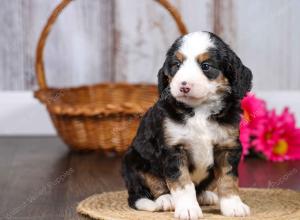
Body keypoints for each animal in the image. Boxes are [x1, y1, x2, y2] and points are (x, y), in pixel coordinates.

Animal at [120, 31, 252, 220]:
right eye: (176, 65)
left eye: (206, 66)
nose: (184, 86)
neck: (200, 111)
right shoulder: (174, 149)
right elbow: (182, 183)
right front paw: (188, 209)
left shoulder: (227, 147)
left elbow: (228, 179)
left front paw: (233, 206)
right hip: (134, 158)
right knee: (148, 187)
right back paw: (166, 199)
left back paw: (206, 196)